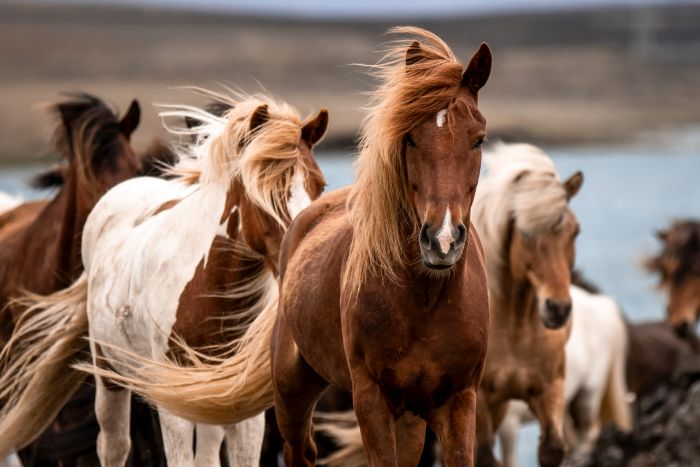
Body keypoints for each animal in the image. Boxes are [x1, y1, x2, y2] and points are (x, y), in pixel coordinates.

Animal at [0, 91, 328, 467]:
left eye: (320, 184)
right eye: (260, 186)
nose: (303, 251)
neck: (210, 287)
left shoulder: (237, 402)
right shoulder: (171, 402)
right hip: (109, 376)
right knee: (114, 445)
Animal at [470, 144, 584, 467]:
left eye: (575, 231)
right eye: (525, 233)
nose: (558, 309)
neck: (515, 328)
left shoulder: (550, 390)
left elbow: (553, 449)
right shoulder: (480, 400)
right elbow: (484, 456)